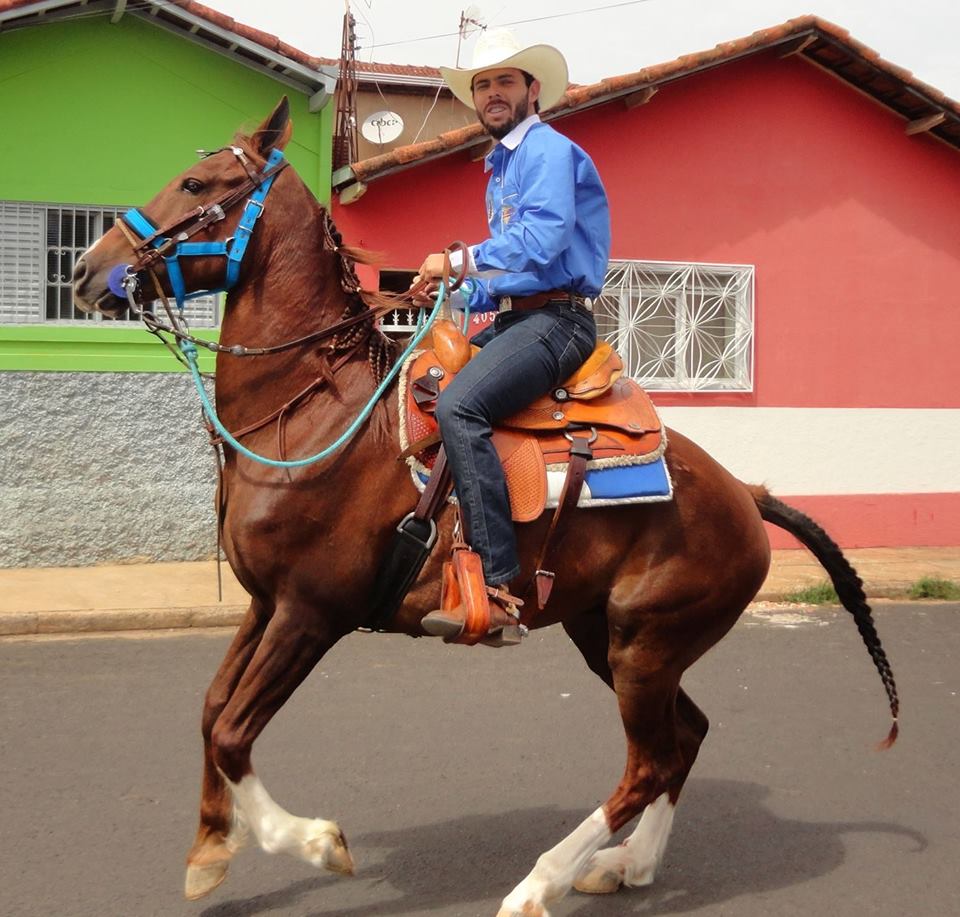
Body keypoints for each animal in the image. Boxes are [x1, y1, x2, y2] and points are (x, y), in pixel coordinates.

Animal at [72, 99, 898, 917]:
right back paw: (627, 864)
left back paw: (542, 882)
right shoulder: (264, 604)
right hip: (608, 635)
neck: (314, 413)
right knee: (683, 740)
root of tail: (743, 494)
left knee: (650, 760)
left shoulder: (310, 611)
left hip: (644, 648)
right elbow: (212, 710)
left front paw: (315, 843)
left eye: (194, 182)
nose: (85, 269)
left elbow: (235, 731)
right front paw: (211, 848)